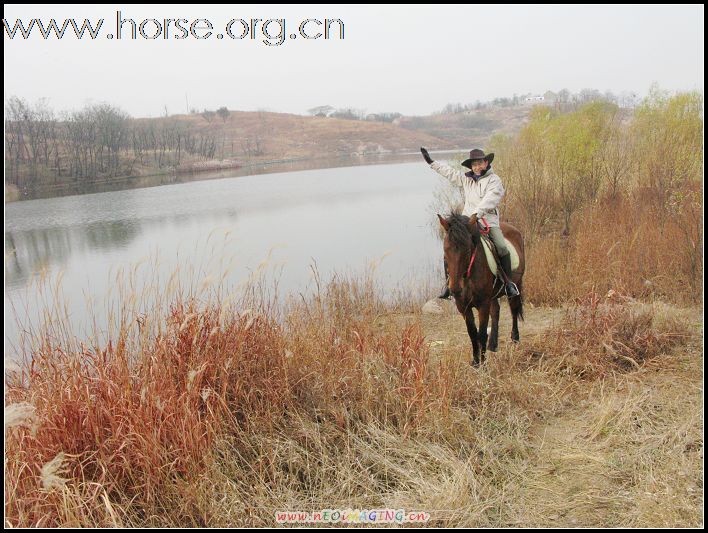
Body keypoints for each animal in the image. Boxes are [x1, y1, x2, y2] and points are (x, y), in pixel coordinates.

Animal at [436, 212, 524, 366]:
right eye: (445, 250)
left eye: (467, 250)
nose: (455, 289)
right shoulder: (463, 306)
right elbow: (472, 333)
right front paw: (476, 361)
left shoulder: (483, 304)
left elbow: (481, 333)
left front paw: (483, 363)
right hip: (493, 296)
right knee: (496, 312)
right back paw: (493, 344)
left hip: (516, 284)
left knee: (514, 310)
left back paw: (515, 339)